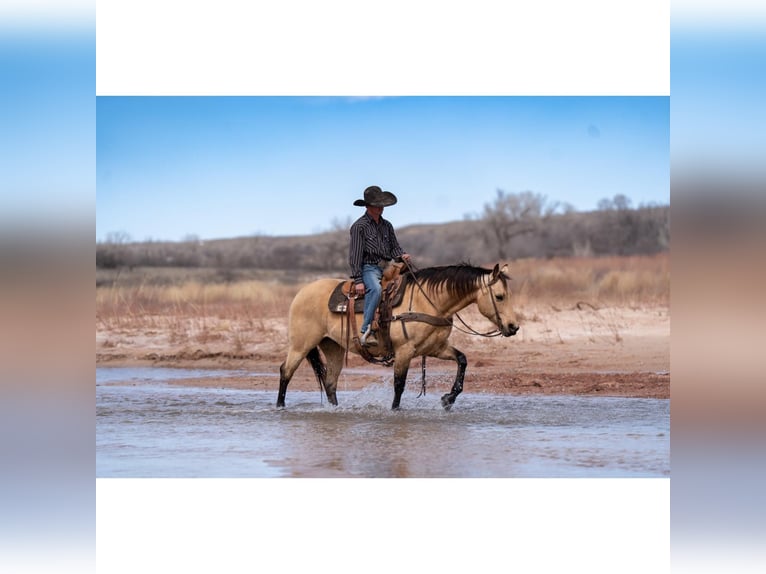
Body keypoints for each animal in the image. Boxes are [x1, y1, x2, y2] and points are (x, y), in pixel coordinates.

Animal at [276, 264, 520, 412]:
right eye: (499, 297)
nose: (514, 327)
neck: (428, 302)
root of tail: (301, 292)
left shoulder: (436, 348)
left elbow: (462, 360)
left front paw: (447, 400)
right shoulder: (405, 351)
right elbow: (399, 385)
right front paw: (395, 411)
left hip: (333, 347)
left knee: (330, 382)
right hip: (301, 345)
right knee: (286, 371)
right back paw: (279, 407)